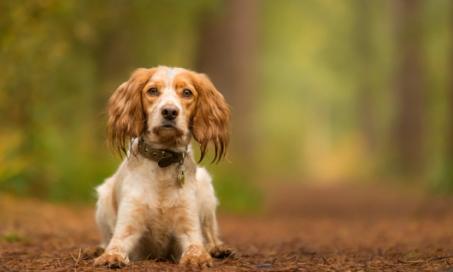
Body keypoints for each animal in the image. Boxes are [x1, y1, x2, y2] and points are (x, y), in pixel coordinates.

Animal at [93, 66, 231, 268]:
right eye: (152, 91)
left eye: (187, 93)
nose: (170, 111)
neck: (162, 162)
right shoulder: (127, 227)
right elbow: (115, 246)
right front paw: (110, 257)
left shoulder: (189, 228)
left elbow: (196, 247)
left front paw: (198, 258)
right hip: (103, 196)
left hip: (206, 191)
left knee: (210, 235)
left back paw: (218, 248)